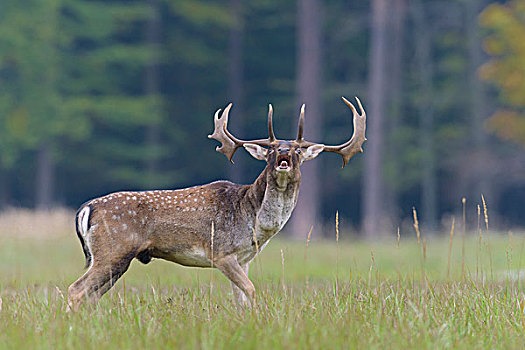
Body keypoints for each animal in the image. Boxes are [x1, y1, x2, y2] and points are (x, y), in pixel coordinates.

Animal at [67, 95, 366, 308]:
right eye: (270, 150)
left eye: (297, 150)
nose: (282, 151)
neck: (254, 221)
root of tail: (86, 209)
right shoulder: (221, 252)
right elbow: (251, 290)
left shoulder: (245, 258)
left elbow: (241, 299)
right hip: (113, 250)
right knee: (76, 290)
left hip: (111, 257)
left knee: (91, 295)